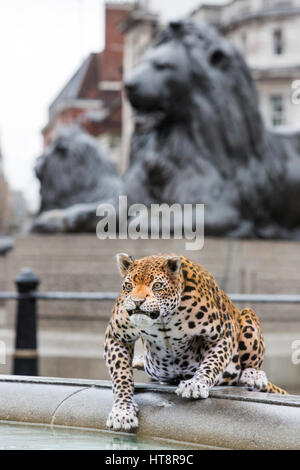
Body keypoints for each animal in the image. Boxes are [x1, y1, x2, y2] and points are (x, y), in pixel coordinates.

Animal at [105, 253, 286, 430]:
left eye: (157, 285)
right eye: (129, 285)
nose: (137, 302)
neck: (163, 319)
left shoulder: (224, 333)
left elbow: (212, 363)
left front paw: (196, 384)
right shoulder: (116, 336)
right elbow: (121, 376)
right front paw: (122, 411)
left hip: (247, 316)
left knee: (250, 364)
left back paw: (253, 375)